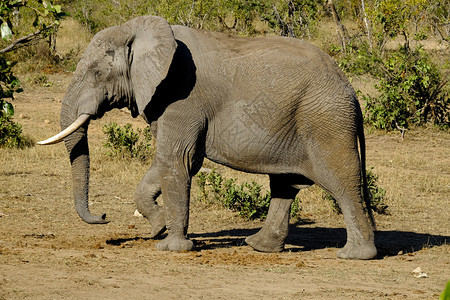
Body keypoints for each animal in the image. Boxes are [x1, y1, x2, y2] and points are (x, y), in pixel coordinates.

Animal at [37, 14, 376, 258]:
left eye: (97, 73)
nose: (104, 215)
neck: (140, 31)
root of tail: (349, 87)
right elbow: (172, 163)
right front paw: (158, 227)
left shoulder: (181, 95)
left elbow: (177, 160)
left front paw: (170, 248)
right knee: (285, 185)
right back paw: (258, 246)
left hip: (326, 121)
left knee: (342, 182)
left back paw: (354, 255)